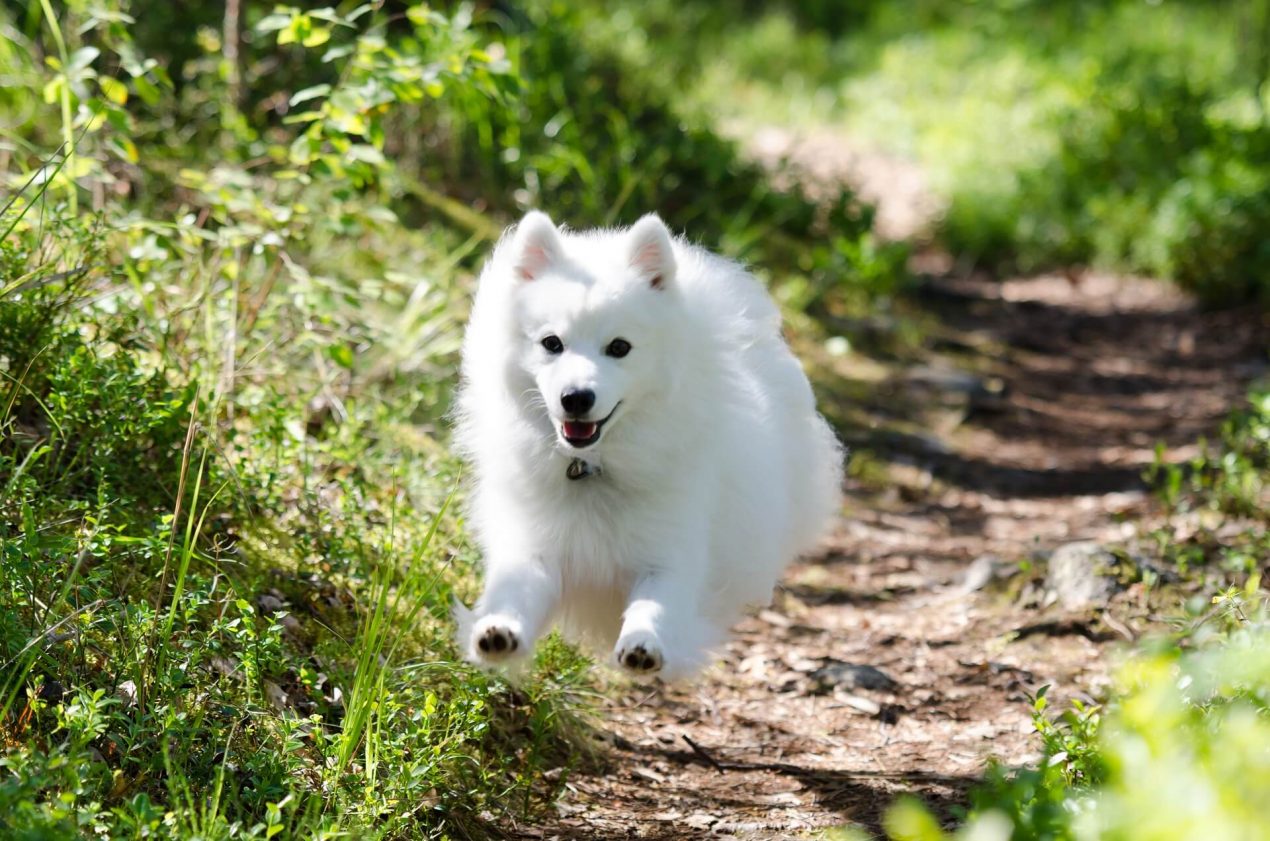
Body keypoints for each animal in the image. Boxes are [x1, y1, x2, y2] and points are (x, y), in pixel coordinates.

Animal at [452, 214, 838, 680]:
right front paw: (497, 631)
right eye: (552, 343)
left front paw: (643, 644)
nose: (576, 398)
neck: (592, 467)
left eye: (619, 347)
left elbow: (655, 605)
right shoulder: (535, 546)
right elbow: (515, 592)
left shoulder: (671, 554)